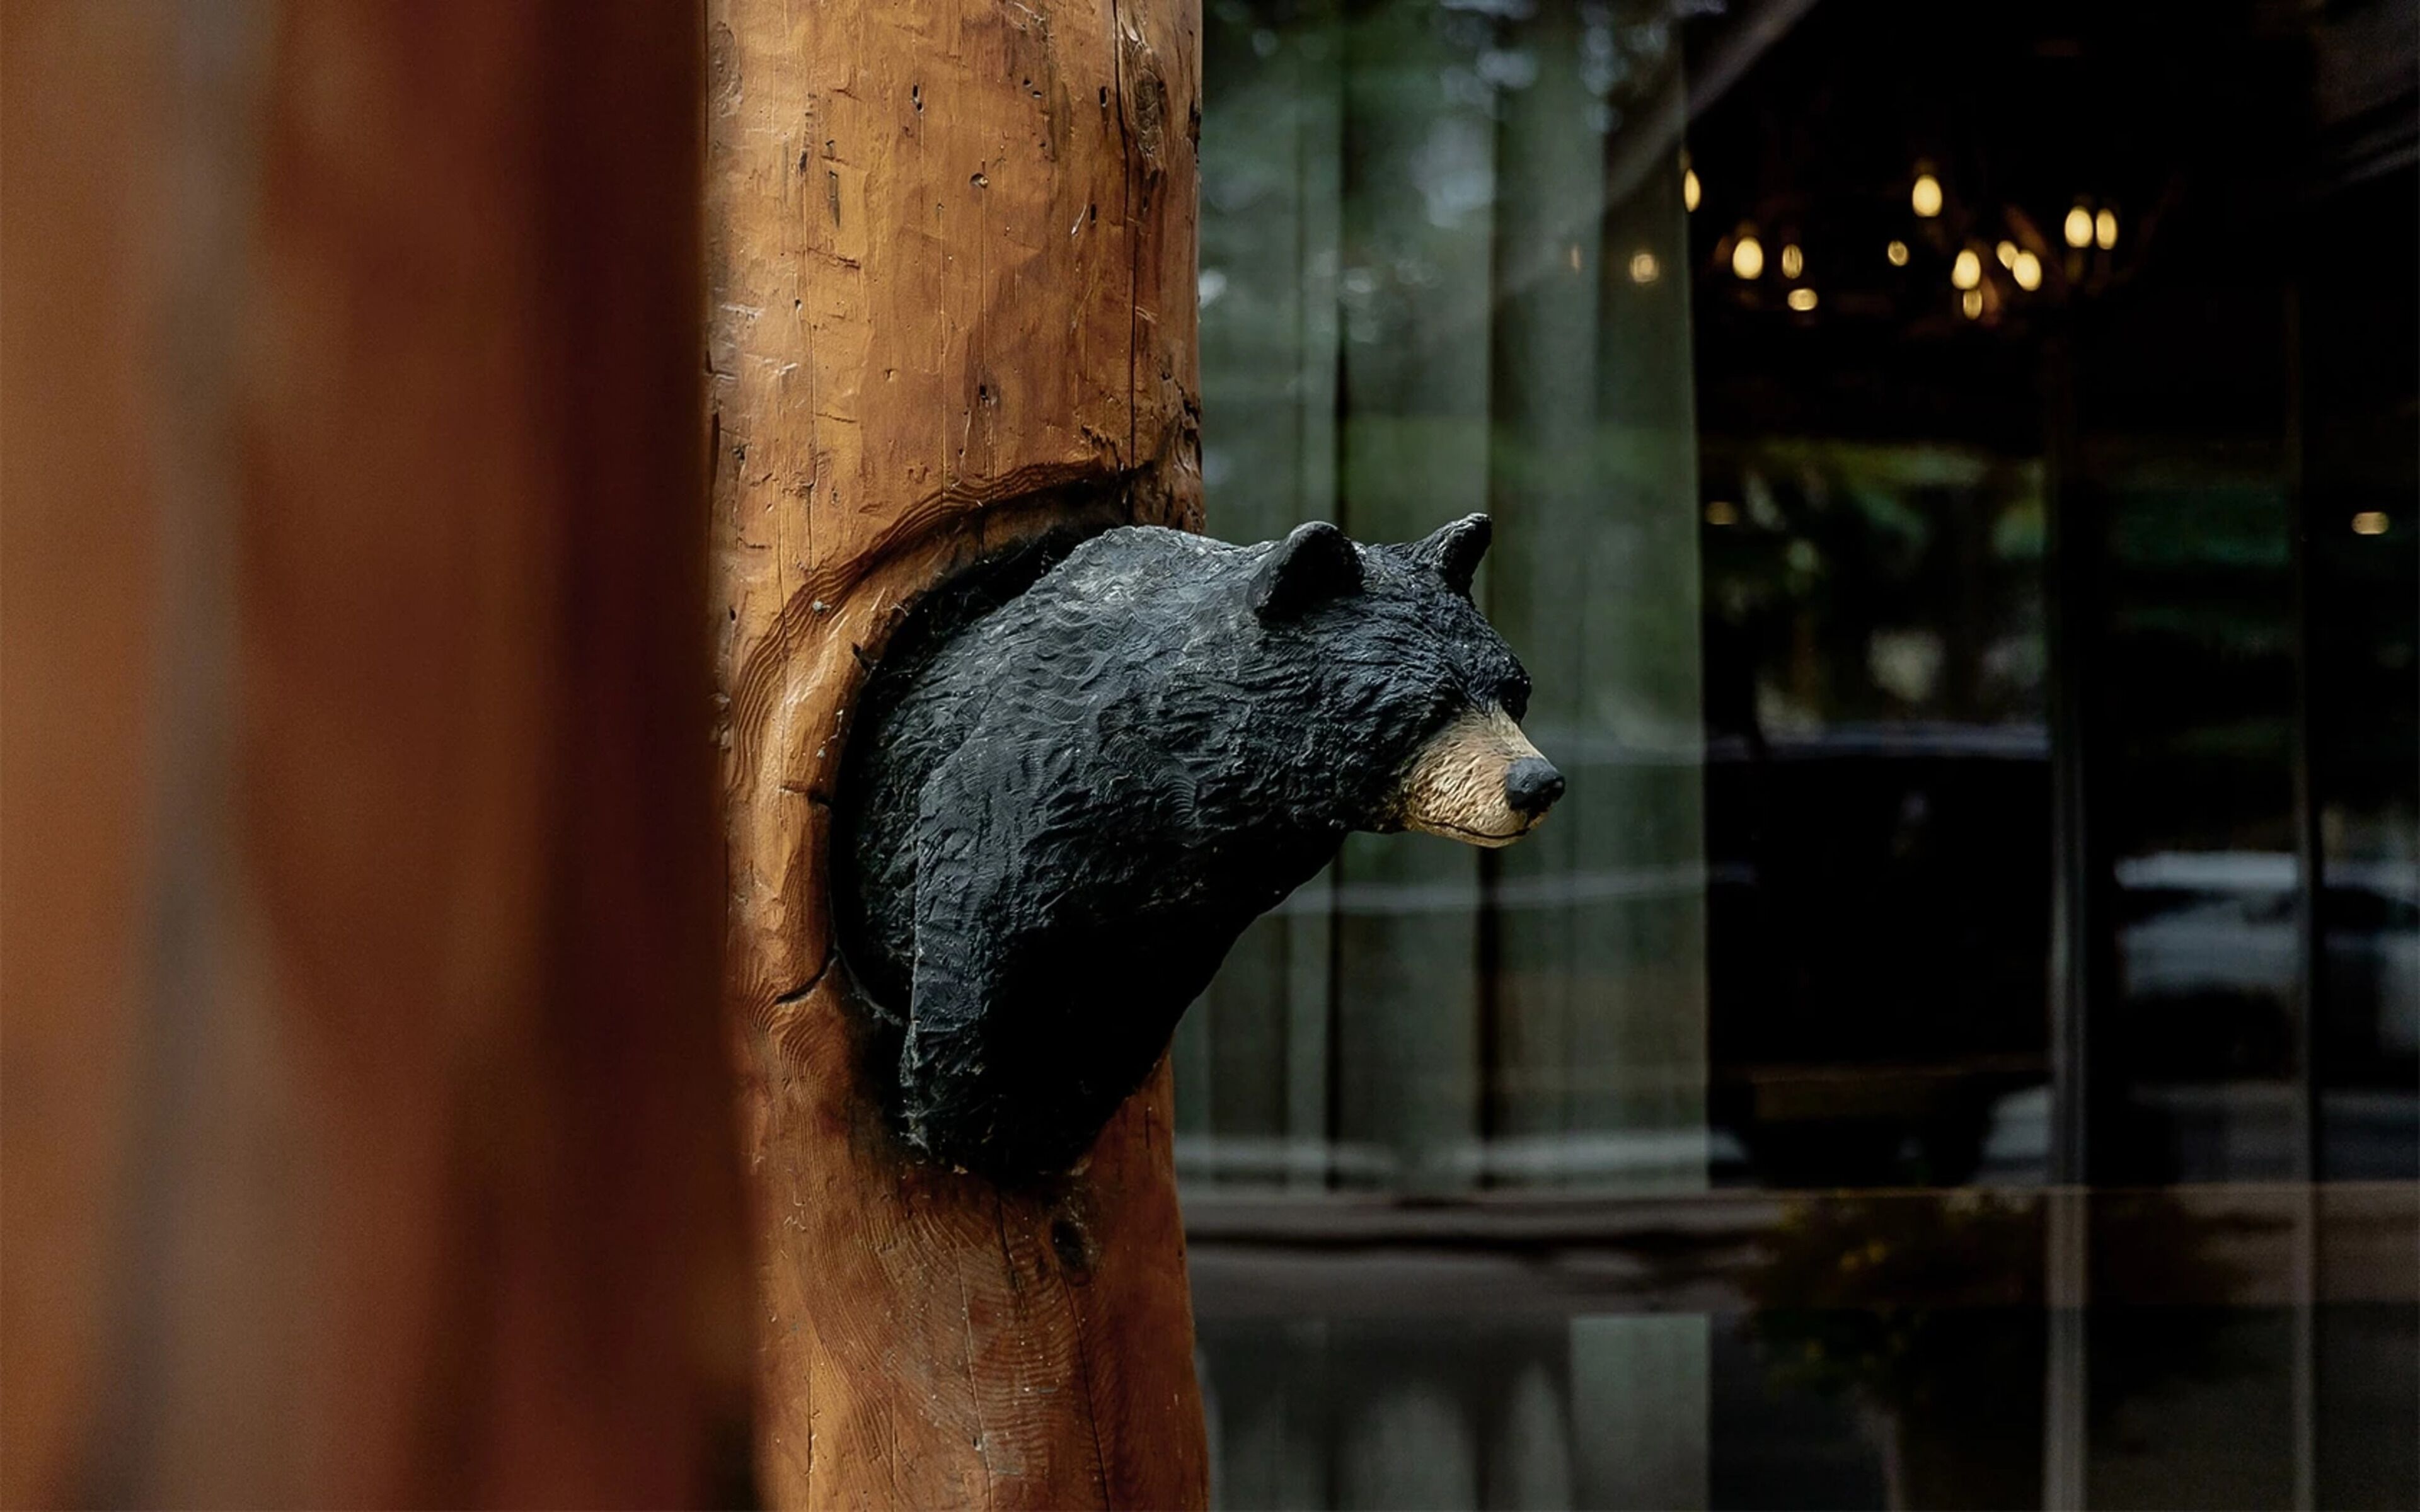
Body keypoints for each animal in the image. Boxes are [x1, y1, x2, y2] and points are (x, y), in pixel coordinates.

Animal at [831, 513, 1563, 1182]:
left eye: (1513, 690)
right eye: (1428, 705)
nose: (1536, 783)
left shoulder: (1202, 898)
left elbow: (1130, 1004)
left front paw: (1049, 1123)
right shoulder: (1036, 776)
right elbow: (976, 915)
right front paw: (959, 1123)